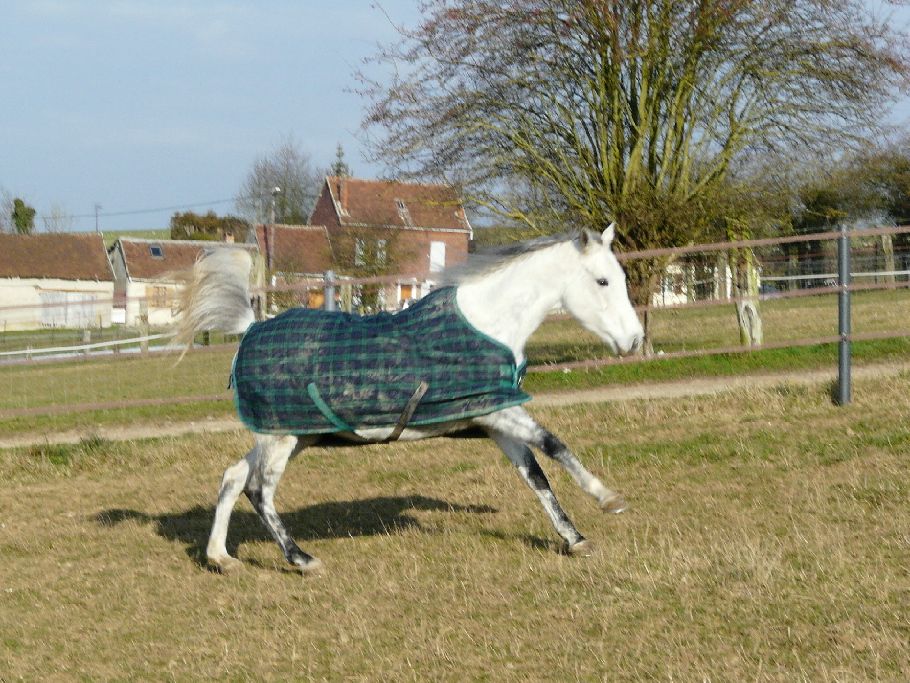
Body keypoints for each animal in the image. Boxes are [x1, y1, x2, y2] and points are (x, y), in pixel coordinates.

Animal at [178, 225, 644, 574]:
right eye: (602, 281)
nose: (634, 341)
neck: (484, 323)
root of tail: (249, 329)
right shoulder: (501, 411)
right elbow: (553, 443)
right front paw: (609, 499)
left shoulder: (493, 417)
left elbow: (535, 475)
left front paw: (575, 538)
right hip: (281, 438)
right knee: (259, 490)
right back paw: (301, 558)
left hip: (292, 435)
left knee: (233, 476)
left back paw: (220, 558)